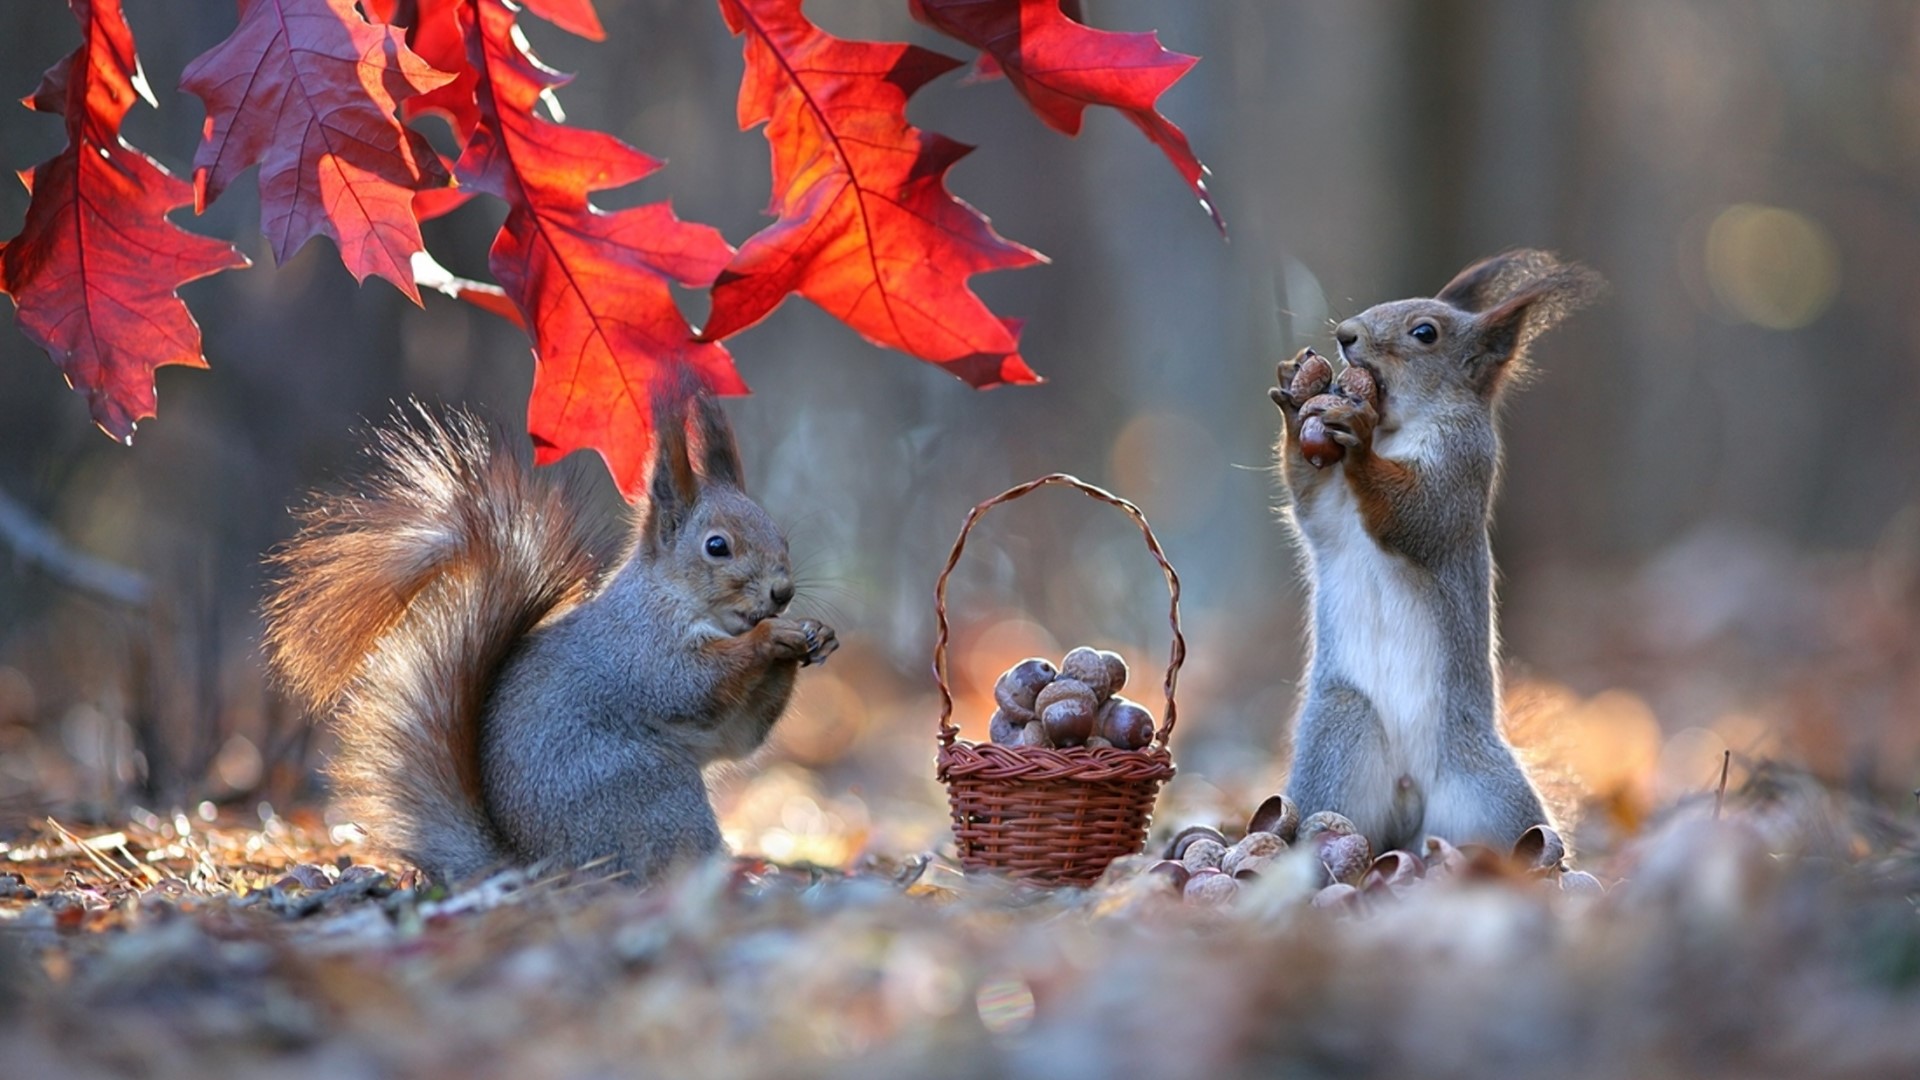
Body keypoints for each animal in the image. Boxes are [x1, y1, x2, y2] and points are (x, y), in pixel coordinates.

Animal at [262, 387, 836, 886]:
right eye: (717, 546)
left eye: (781, 536)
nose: (782, 592)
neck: (675, 602)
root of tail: (534, 867)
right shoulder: (640, 652)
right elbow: (690, 685)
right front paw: (769, 638)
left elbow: (741, 736)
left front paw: (814, 634)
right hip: (652, 795)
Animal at [1267, 249, 1602, 854]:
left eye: (1425, 333)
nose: (1346, 334)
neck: (1395, 431)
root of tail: (1408, 797)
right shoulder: (1329, 511)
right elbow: (1312, 500)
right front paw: (1295, 399)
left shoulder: (1463, 468)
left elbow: (1416, 513)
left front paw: (1356, 434)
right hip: (1338, 743)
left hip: (1490, 793)